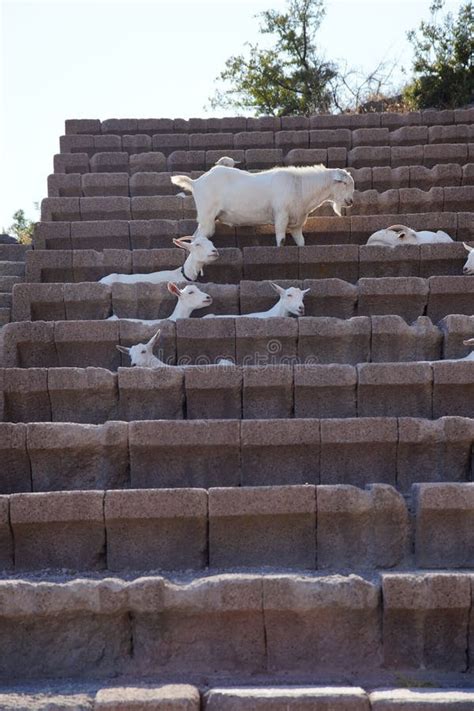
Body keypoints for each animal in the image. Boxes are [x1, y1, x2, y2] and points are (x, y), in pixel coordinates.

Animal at [172, 164, 354, 248]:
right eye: (344, 183)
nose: (351, 201)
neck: (300, 185)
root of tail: (195, 182)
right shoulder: (281, 215)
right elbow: (280, 239)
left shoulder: (297, 223)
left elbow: (301, 242)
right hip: (207, 216)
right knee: (199, 236)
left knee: (195, 236)